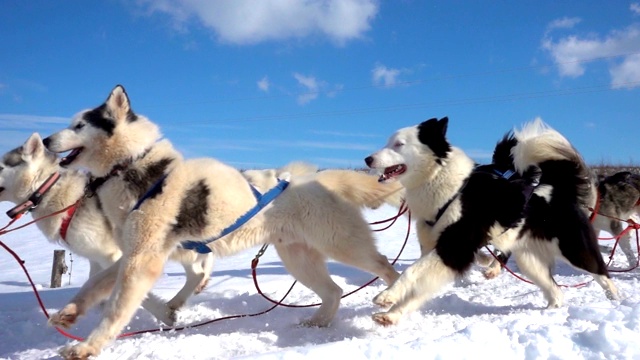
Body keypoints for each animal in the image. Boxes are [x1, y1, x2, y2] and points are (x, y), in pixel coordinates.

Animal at [45, 85, 402, 360]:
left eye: (79, 125)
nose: (47, 140)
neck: (134, 165)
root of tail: (317, 178)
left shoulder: (142, 259)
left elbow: (115, 309)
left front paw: (87, 346)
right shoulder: (131, 254)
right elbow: (93, 286)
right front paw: (69, 312)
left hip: (345, 247)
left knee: (386, 267)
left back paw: (392, 302)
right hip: (300, 260)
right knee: (334, 291)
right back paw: (318, 323)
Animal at [364, 117, 620, 326]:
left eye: (398, 144)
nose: (367, 159)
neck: (444, 183)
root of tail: (557, 188)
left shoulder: (453, 249)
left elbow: (411, 273)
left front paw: (387, 295)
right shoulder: (437, 252)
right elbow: (418, 288)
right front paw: (392, 315)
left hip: (574, 249)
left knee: (602, 274)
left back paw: (616, 299)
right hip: (530, 262)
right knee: (556, 291)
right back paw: (551, 310)